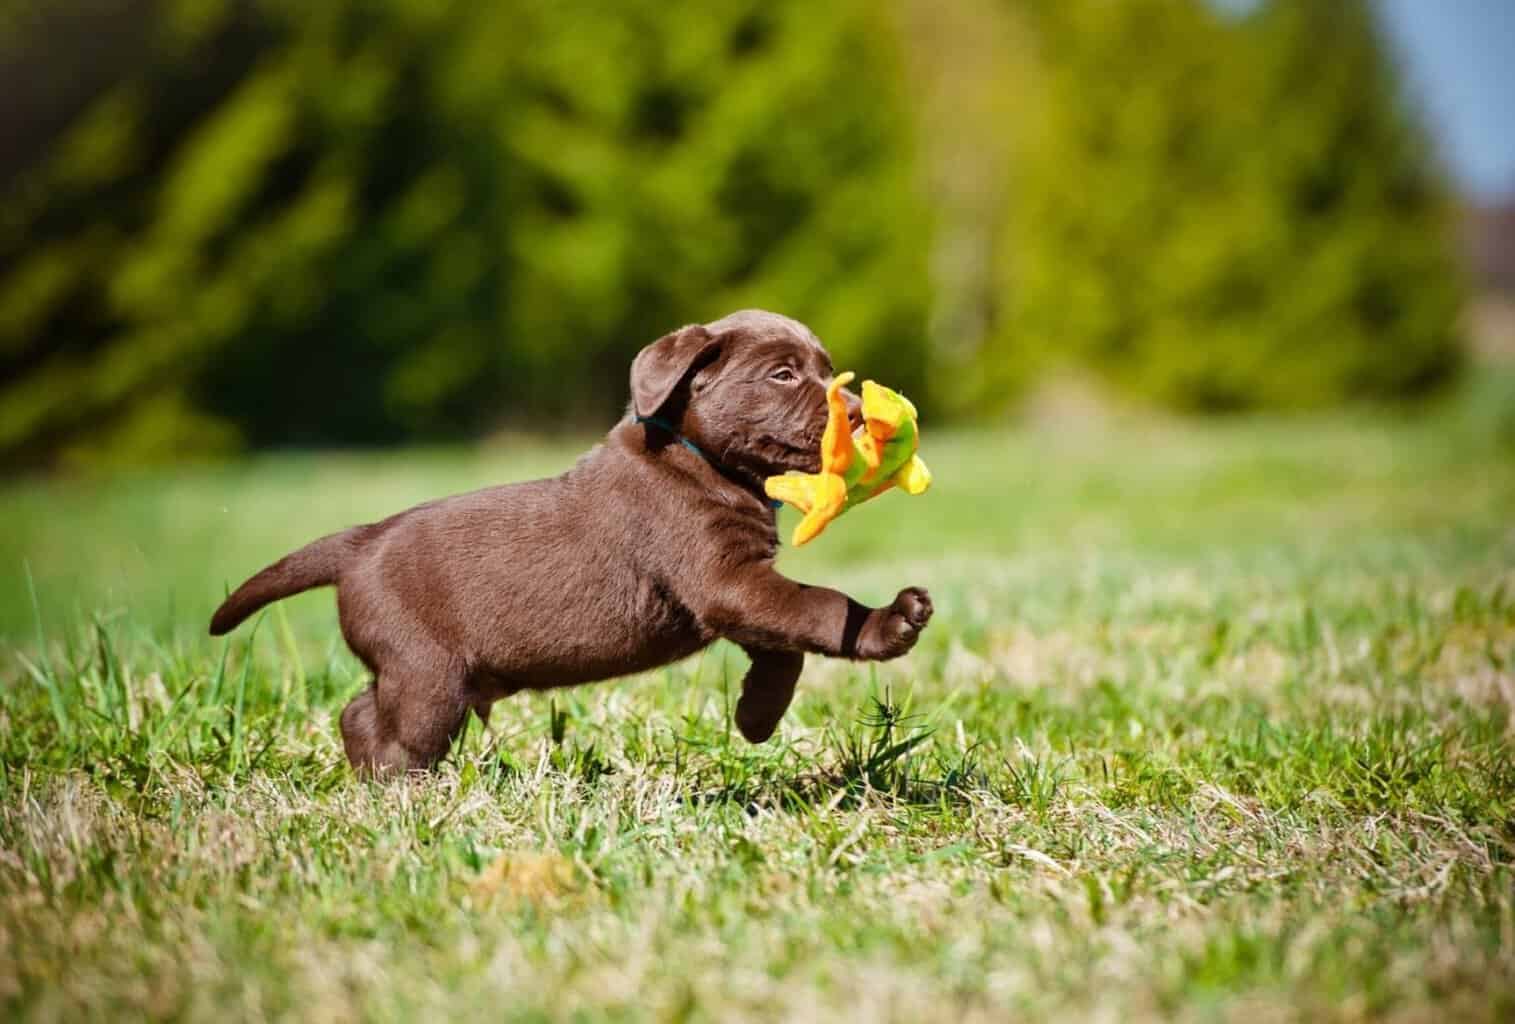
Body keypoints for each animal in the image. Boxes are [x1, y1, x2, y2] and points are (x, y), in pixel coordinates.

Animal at [209, 307, 927, 772]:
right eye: (782, 375)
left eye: (827, 371)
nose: (859, 415)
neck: (696, 455)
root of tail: (359, 542)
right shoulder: (723, 581)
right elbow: (819, 607)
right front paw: (890, 622)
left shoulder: (743, 587)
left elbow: (786, 648)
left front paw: (755, 717)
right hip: (427, 674)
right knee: (399, 738)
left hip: (422, 672)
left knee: (359, 713)